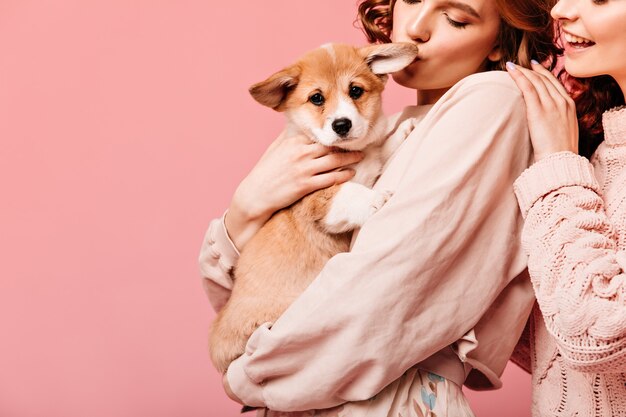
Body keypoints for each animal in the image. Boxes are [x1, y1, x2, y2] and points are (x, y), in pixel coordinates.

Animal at [210, 43, 420, 374]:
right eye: (317, 98)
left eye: (355, 90)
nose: (342, 124)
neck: (346, 153)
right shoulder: (319, 199)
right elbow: (352, 191)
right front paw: (377, 199)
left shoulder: (367, 163)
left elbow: (378, 152)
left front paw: (401, 131)